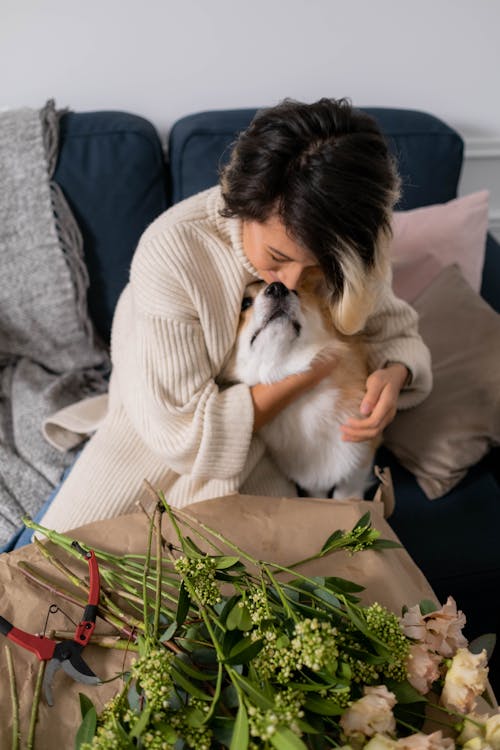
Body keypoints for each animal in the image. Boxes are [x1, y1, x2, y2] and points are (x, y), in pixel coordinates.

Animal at [221, 274, 376, 500]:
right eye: (245, 303)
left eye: (295, 291)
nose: (278, 288)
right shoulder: (312, 481)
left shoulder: (361, 458)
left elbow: (348, 491)